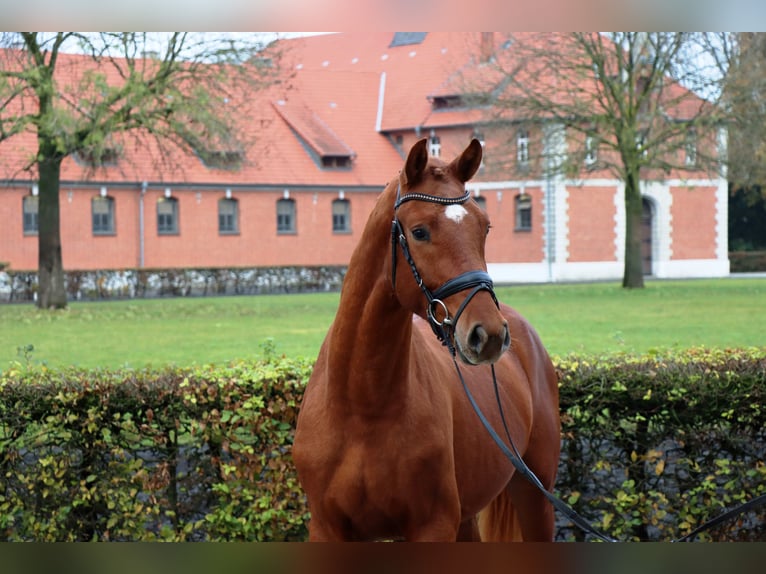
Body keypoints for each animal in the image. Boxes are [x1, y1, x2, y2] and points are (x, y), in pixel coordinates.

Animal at [292, 140, 560, 544]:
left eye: (484, 227)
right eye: (419, 232)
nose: (489, 334)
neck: (361, 407)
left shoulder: (433, 525)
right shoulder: (327, 529)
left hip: (535, 495)